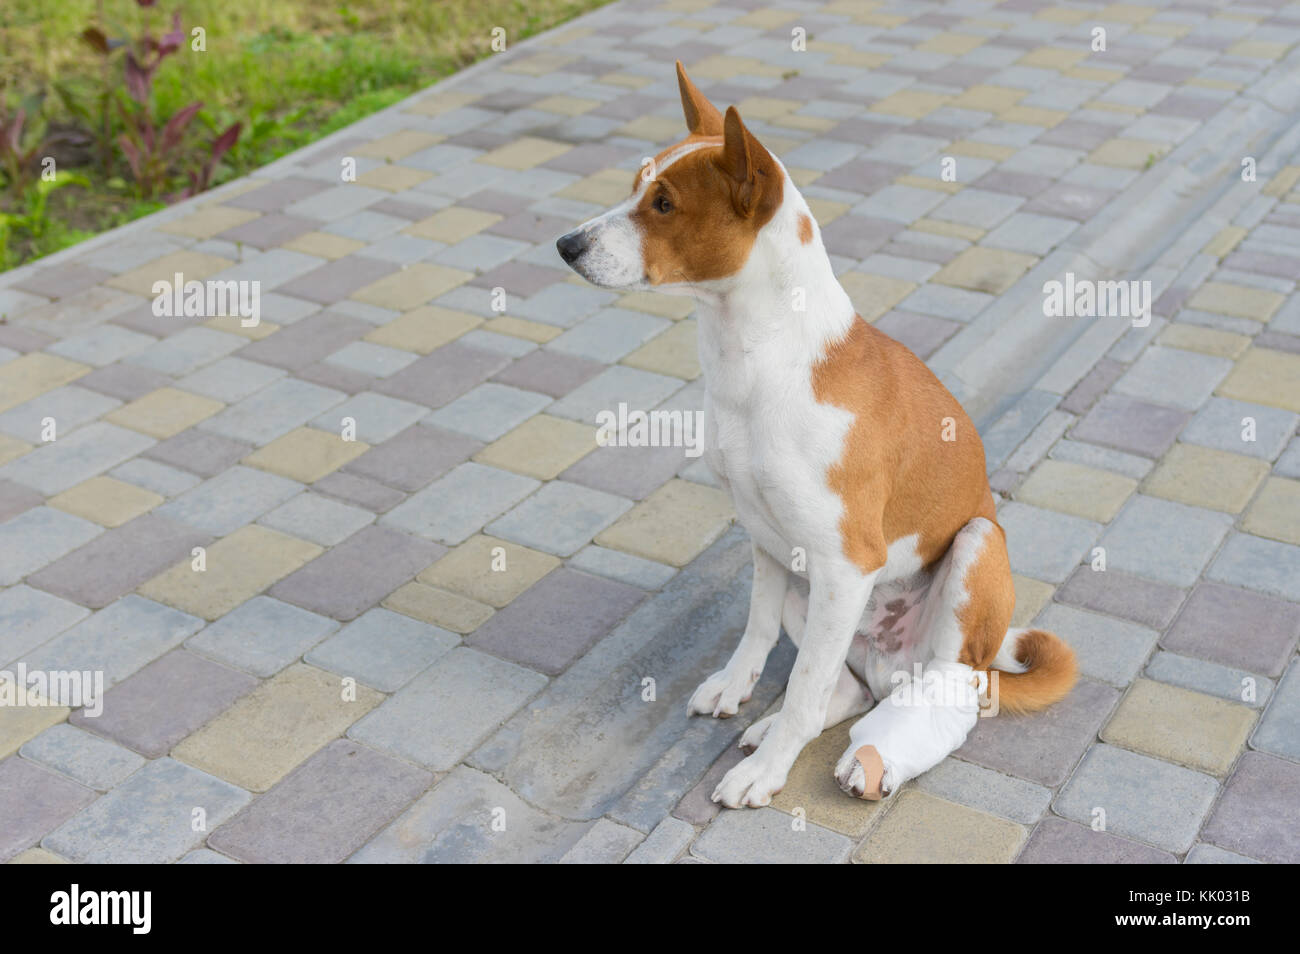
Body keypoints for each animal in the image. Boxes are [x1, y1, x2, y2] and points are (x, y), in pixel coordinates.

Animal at [553, 63, 1071, 811]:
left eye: (664, 204)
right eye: (634, 187)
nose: (566, 245)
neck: (754, 360)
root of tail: (890, 665)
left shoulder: (846, 560)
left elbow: (799, 689)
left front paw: (768, 773)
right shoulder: (766, 536)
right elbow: (758, 629)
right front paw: (737, 688)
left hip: (973, 548)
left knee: (941, 688)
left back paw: (856, 752)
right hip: (817, 595)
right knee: (845, 687)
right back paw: (772, 725)